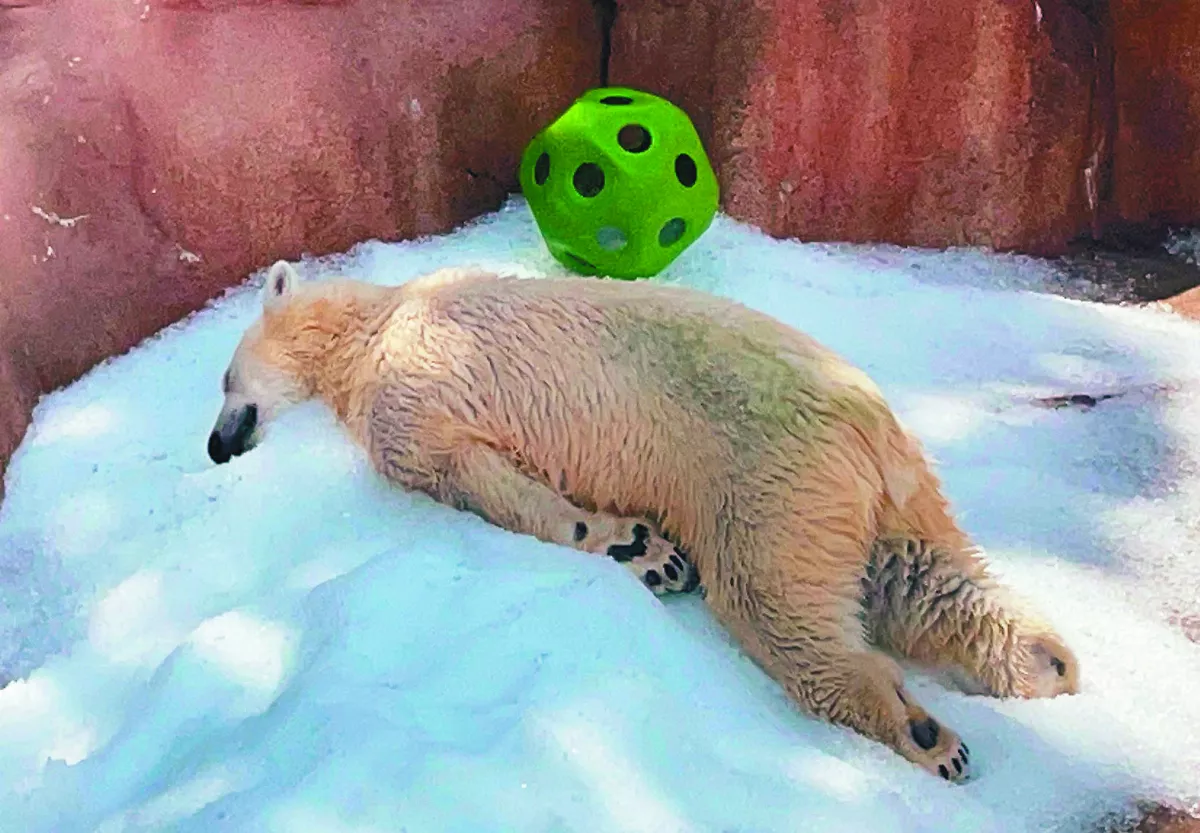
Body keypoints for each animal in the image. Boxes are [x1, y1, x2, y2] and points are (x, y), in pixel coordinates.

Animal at [207, 260, 1080, 782]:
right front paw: (644, 548)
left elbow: (469, 475)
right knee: (924, 578)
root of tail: (869, 425)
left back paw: (925, 734)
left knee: (776, 604)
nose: (215, 446)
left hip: (768, 475)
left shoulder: (412, 381)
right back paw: (1048, 662)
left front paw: (638, 546)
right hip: (881, 494)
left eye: (222, 379)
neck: (378, 318)